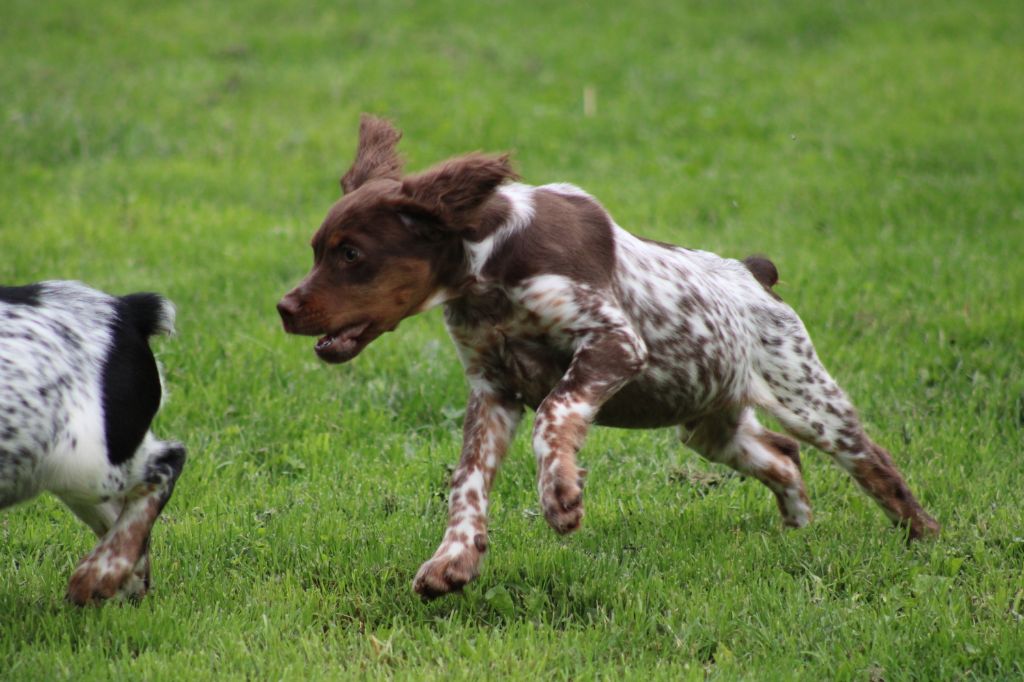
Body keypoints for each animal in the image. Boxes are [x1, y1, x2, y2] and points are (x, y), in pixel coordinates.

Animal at [276, 114, 937, 598]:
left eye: (351, 254)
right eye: (318, 250)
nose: (283, 307)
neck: (488, 268)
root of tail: (753, 274)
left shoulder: (614, 343)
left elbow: (554, 414)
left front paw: (561, 496)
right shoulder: (491, 390)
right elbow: (467, 482)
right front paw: (453, 561)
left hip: (807, 397)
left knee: (872, 464)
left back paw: (925, 538)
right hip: (709, 424)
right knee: (781, 454)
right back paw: (797, 523)